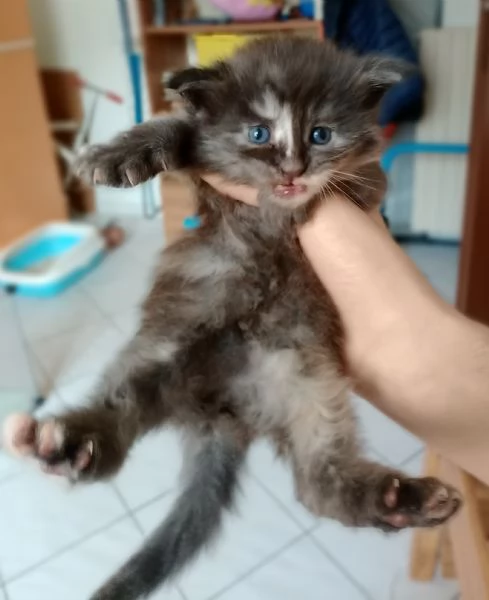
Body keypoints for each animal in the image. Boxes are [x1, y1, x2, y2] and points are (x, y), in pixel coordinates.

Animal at [5, 37, 461, 600]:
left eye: (321, 134)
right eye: (258, 134)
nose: (292, 168)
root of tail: (227, 412)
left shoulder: (367, 186)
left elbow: (364, 179)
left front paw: (331, 188)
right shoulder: (208, 187)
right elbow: (182, 130)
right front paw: (124, 151)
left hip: (308, 383)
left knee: (318, 482)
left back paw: (401, 501)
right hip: (162, 347)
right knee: (121, 411)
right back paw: (70, 445)